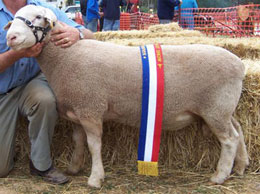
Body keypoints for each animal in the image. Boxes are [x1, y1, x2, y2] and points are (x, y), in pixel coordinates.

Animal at [5, 4, 250, 188]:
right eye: (14, 18)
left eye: (38, 17)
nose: (10, 37)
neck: (66, 56)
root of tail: (239, 65)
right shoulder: (78, 109)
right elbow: (78, 141)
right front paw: (74, 168)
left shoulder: (91, 109)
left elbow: (94, 145)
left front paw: (95, 178)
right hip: (224, 108)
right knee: (238, 130)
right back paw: (241, 165)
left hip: (215, 108)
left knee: (230, 139)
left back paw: (220, 176)